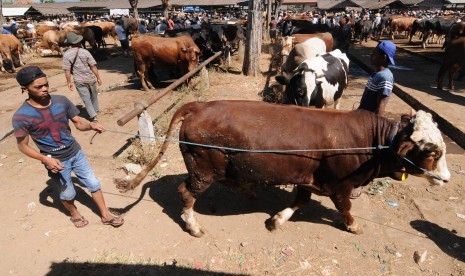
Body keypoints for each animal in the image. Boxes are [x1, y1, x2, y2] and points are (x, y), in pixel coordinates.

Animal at [133, 101, 450, 237]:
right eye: (431, 152)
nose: (446, 178)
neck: (372, 142)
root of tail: (198, 105)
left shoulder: (307, 178)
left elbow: (300, 201)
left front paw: (277, 219)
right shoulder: (340, 185)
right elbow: (345, 208)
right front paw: (354, 226)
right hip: (203, 170)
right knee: (186, 192)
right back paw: (194, 226)